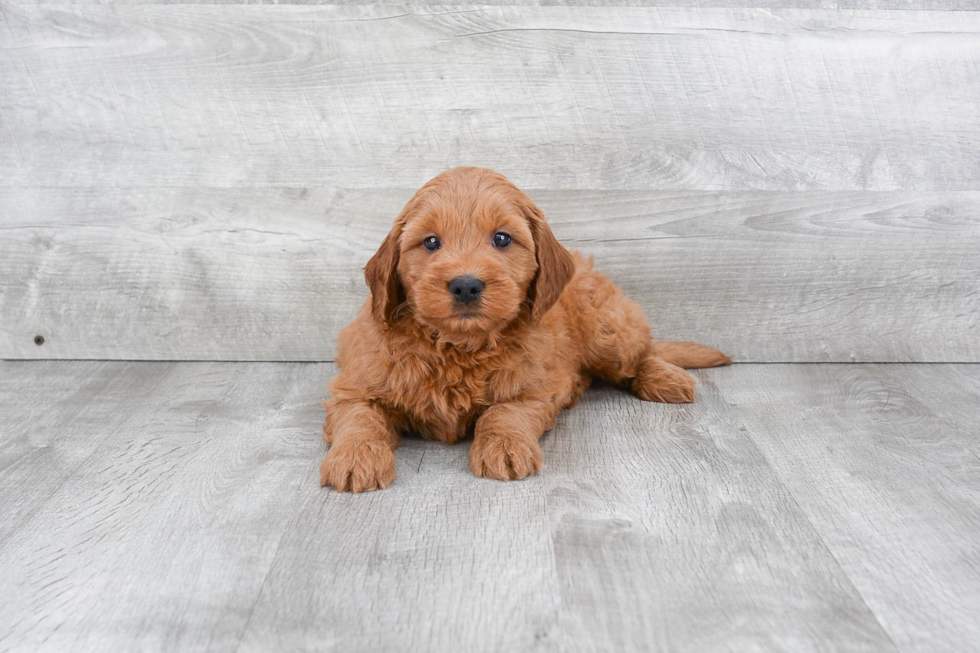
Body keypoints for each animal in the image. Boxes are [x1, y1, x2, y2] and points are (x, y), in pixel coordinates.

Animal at [322, 166, 728, 492]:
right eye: (431, 242)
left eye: (502, 238)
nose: (466, 285)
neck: (458, 347)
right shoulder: (354, 385)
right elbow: (359, 418)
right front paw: (356, 456)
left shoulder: (535, 387)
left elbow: (504, 413)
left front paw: (505, 446)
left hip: (607, 327)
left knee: (641, 353)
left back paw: (666, 377)